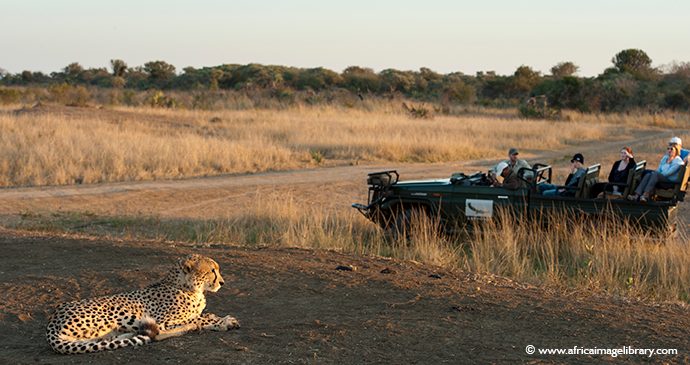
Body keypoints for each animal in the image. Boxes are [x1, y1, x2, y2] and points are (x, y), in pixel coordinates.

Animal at [45, 253, 239, 352]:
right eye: (212, 270)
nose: (222, 282)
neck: (189, 287)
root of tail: (53, 319)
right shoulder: (163, 321)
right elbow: (199, 318)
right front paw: (223, 321)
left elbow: (204, 315)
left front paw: (222, 319)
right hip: (124, 313)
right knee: (157, 333)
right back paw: (190, 328)